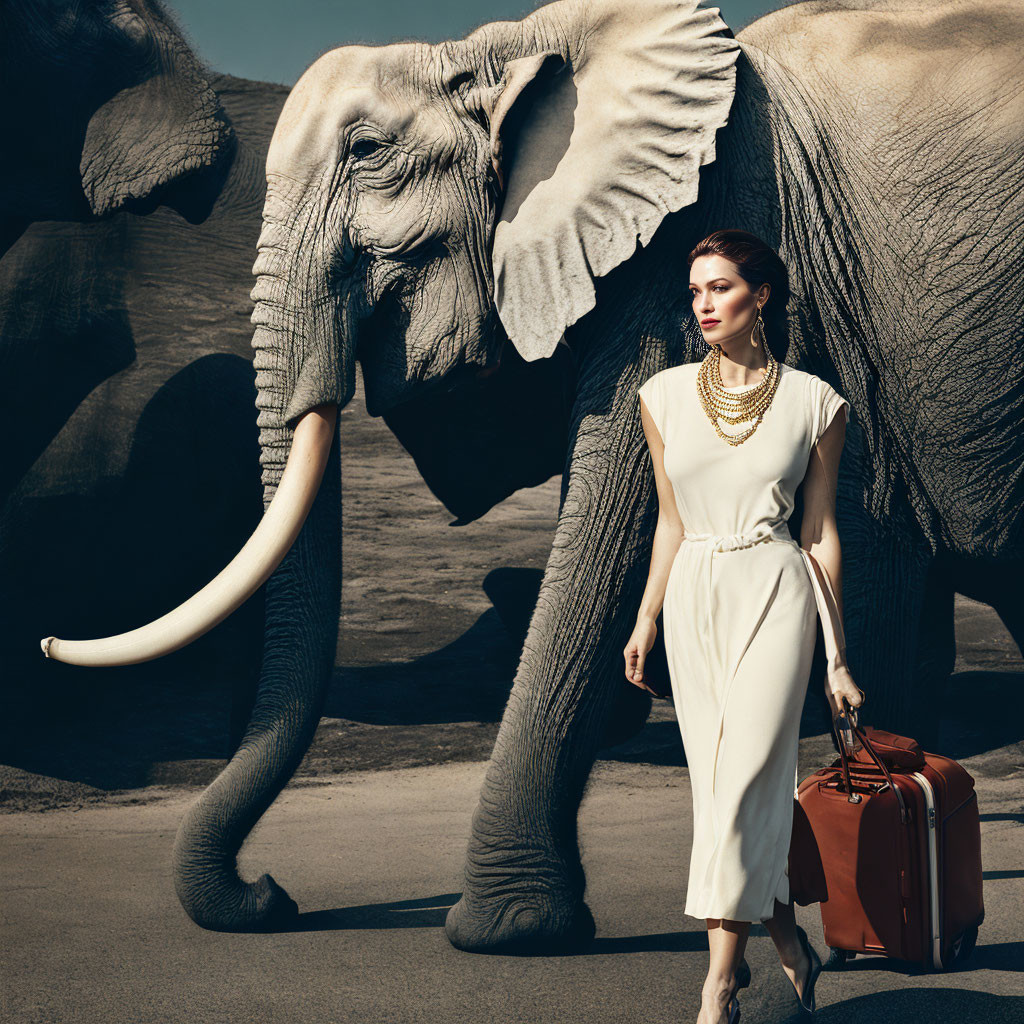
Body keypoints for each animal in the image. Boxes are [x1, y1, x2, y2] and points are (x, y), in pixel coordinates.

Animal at [39, 0, 1024, 954]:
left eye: (368, 153)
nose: (269, 893)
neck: (510, 43)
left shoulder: (690, 237)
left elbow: (616, 535)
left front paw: (504, 932)